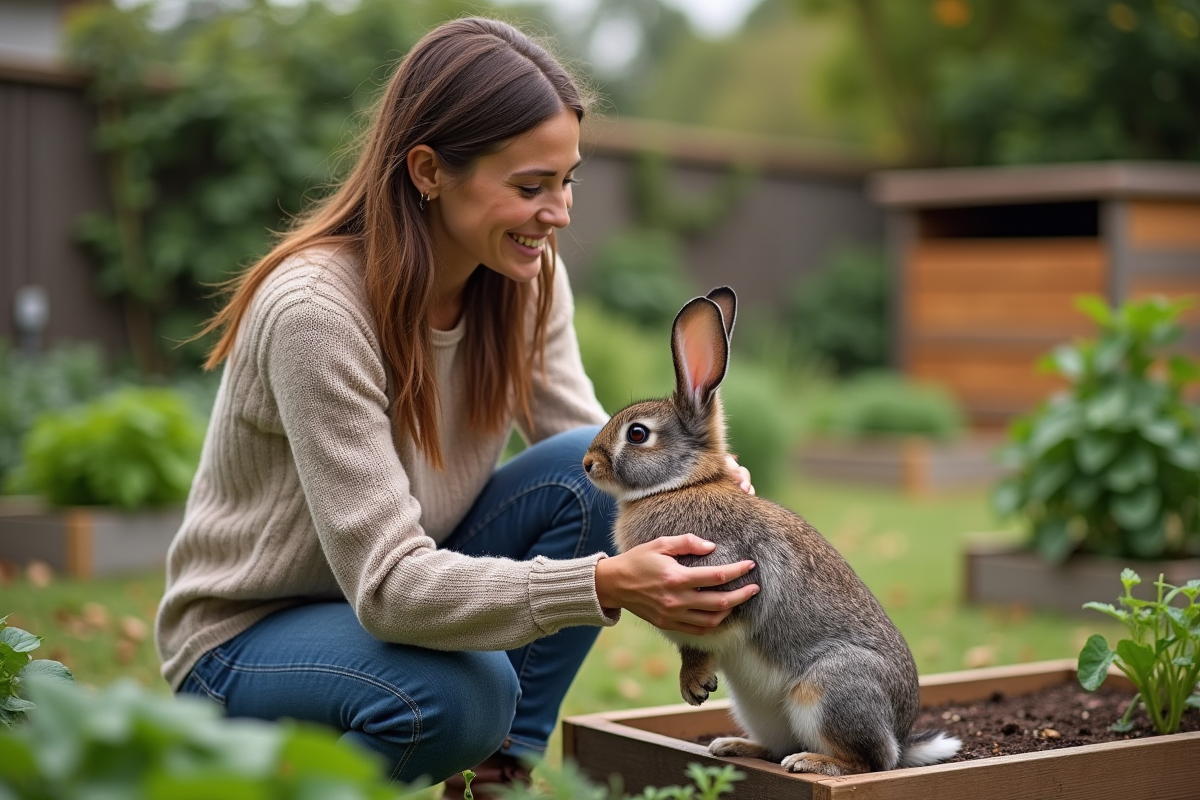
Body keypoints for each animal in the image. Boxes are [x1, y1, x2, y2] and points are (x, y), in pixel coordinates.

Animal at [581, 287, 961, 776]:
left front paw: (694, 682)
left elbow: (704, 642)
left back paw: (810, 763)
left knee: (873, 761)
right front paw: (694, 686)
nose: (588, 464)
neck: (683, 485)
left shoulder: (724, 578)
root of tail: (903, 732)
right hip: (759, 708)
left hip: (828, 690)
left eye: (638, 434)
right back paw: (735, 746)